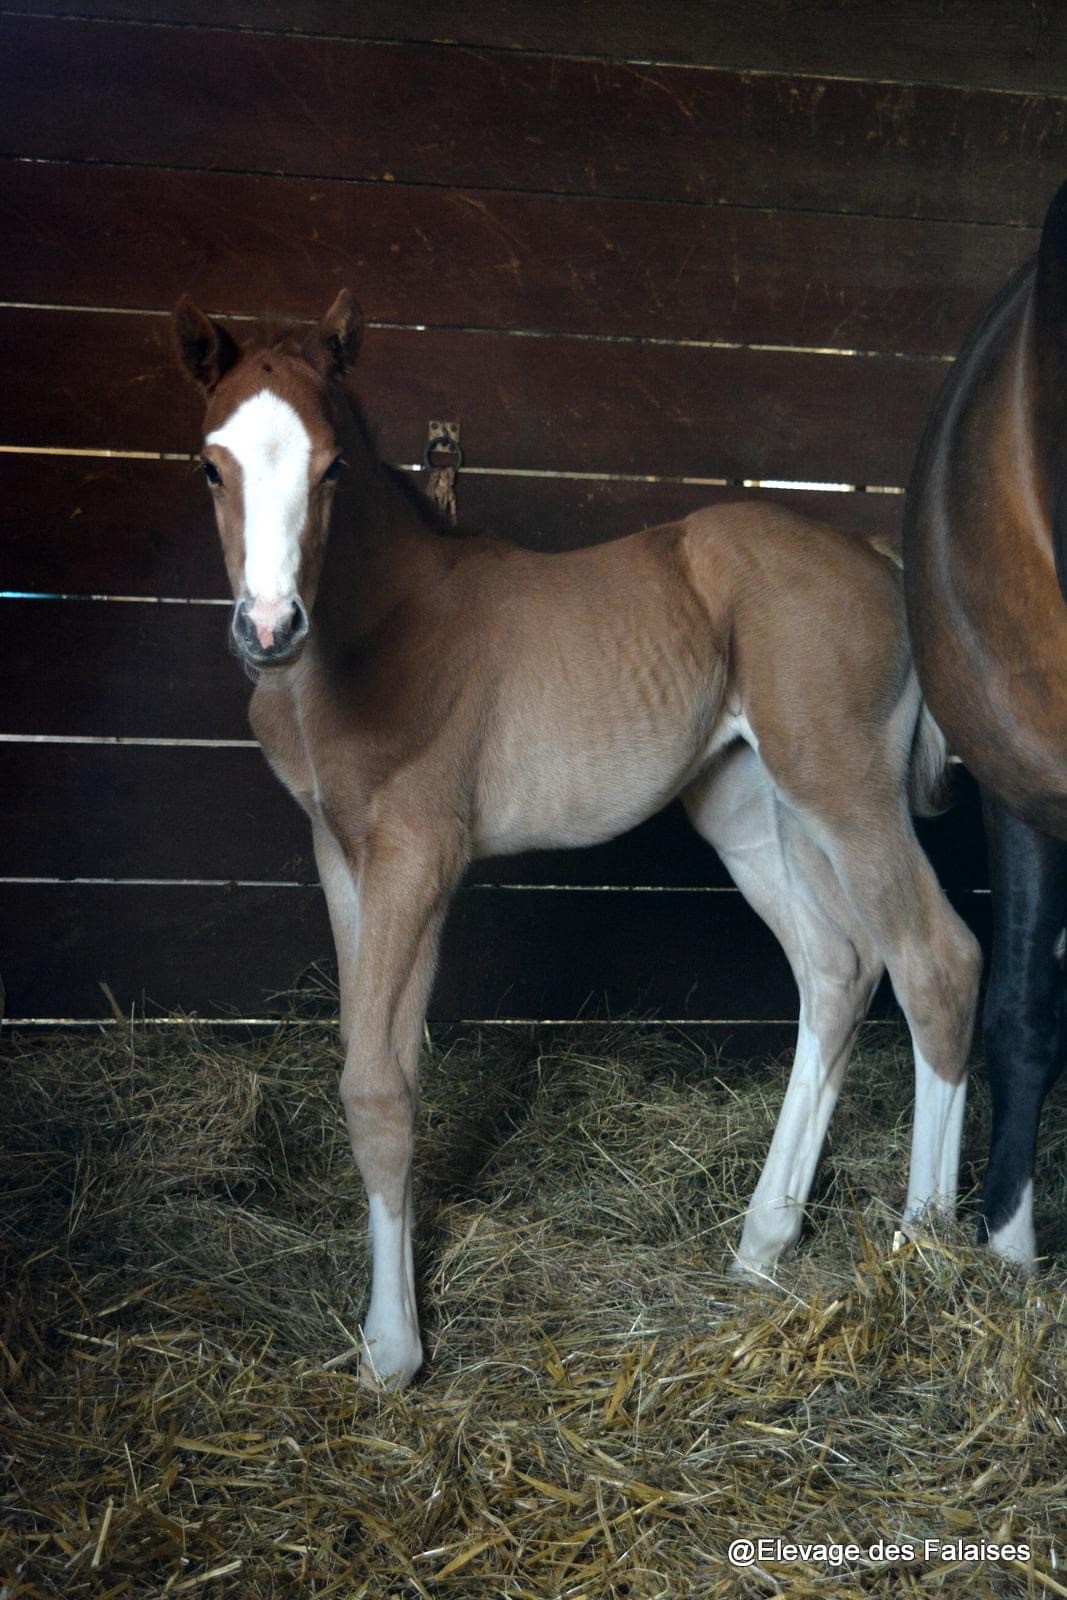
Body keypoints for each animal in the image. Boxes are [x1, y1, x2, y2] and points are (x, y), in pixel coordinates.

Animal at [177, 294, 985, 1395]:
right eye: (210, 467)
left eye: (332, 466)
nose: (267, 627)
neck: (361, 638)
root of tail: (876, 556)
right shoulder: (341, 858)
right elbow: (370, 1056)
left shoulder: (419, 855)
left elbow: (378, 1085)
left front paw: (392, 1349)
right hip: (745, 803)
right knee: (836, 966)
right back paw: (760, 1243)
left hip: (841, 785)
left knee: (934, 961)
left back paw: (916, 1254)